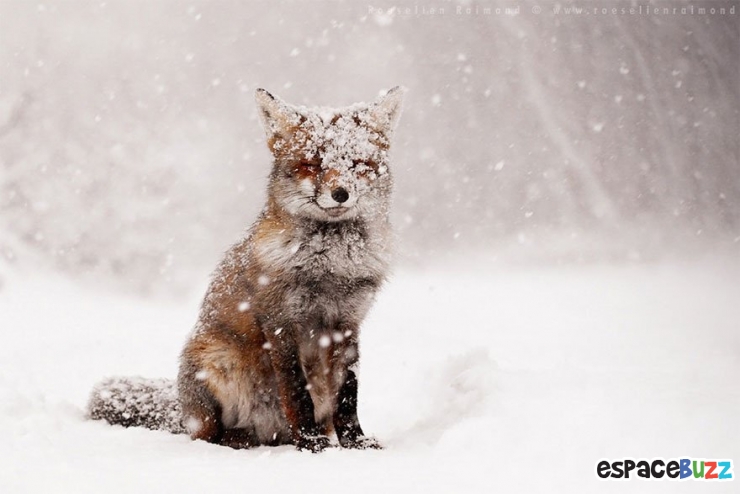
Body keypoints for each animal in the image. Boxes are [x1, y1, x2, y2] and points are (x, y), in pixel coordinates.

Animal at [87, 86, 406, 452]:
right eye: (312, 164)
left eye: (358, 164)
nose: (341, 193)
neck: (329, 268)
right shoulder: (281, 323)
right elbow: (297, 393)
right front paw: (311, 444)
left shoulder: (347, 324)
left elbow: (347, 394)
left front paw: (356, 442)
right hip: (215, 364)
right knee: (210, 435)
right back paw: (244, 440)